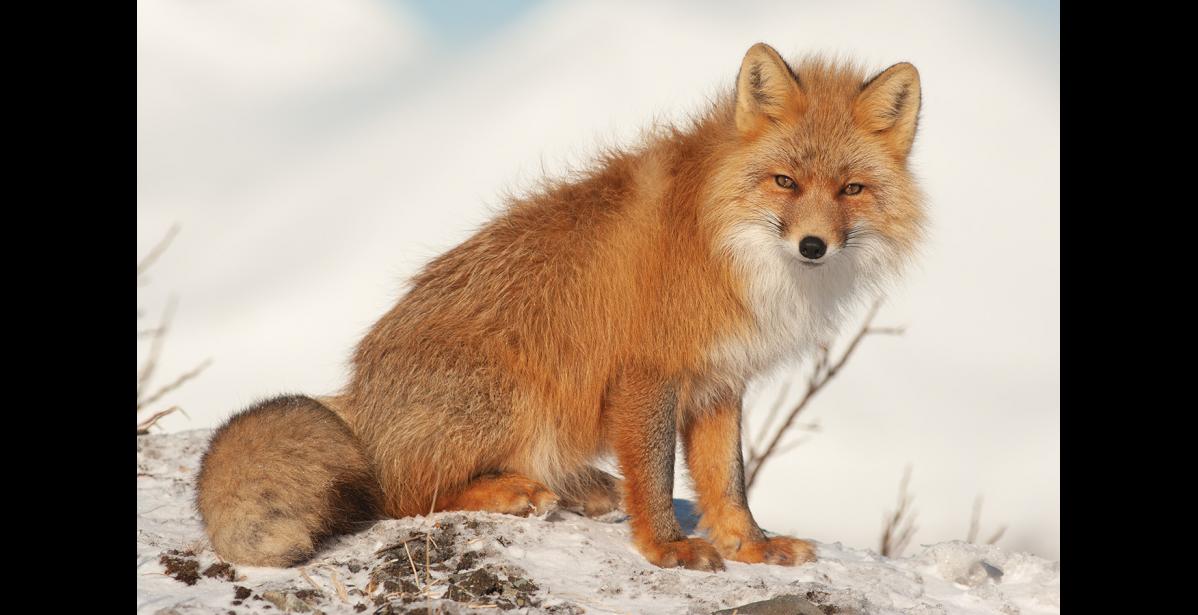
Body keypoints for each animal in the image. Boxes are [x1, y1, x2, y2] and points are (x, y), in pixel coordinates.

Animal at [196, 43, 925, 572]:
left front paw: (752, 546)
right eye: (785, 182)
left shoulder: (719, 383)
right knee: (400, 496)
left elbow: (728, 486)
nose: (813, 245)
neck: (723, 245)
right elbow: (655, 477)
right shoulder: (647, 373)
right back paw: (513, 491)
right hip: (512, 395)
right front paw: (666, 547)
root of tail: (358, 392)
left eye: (852, 189)